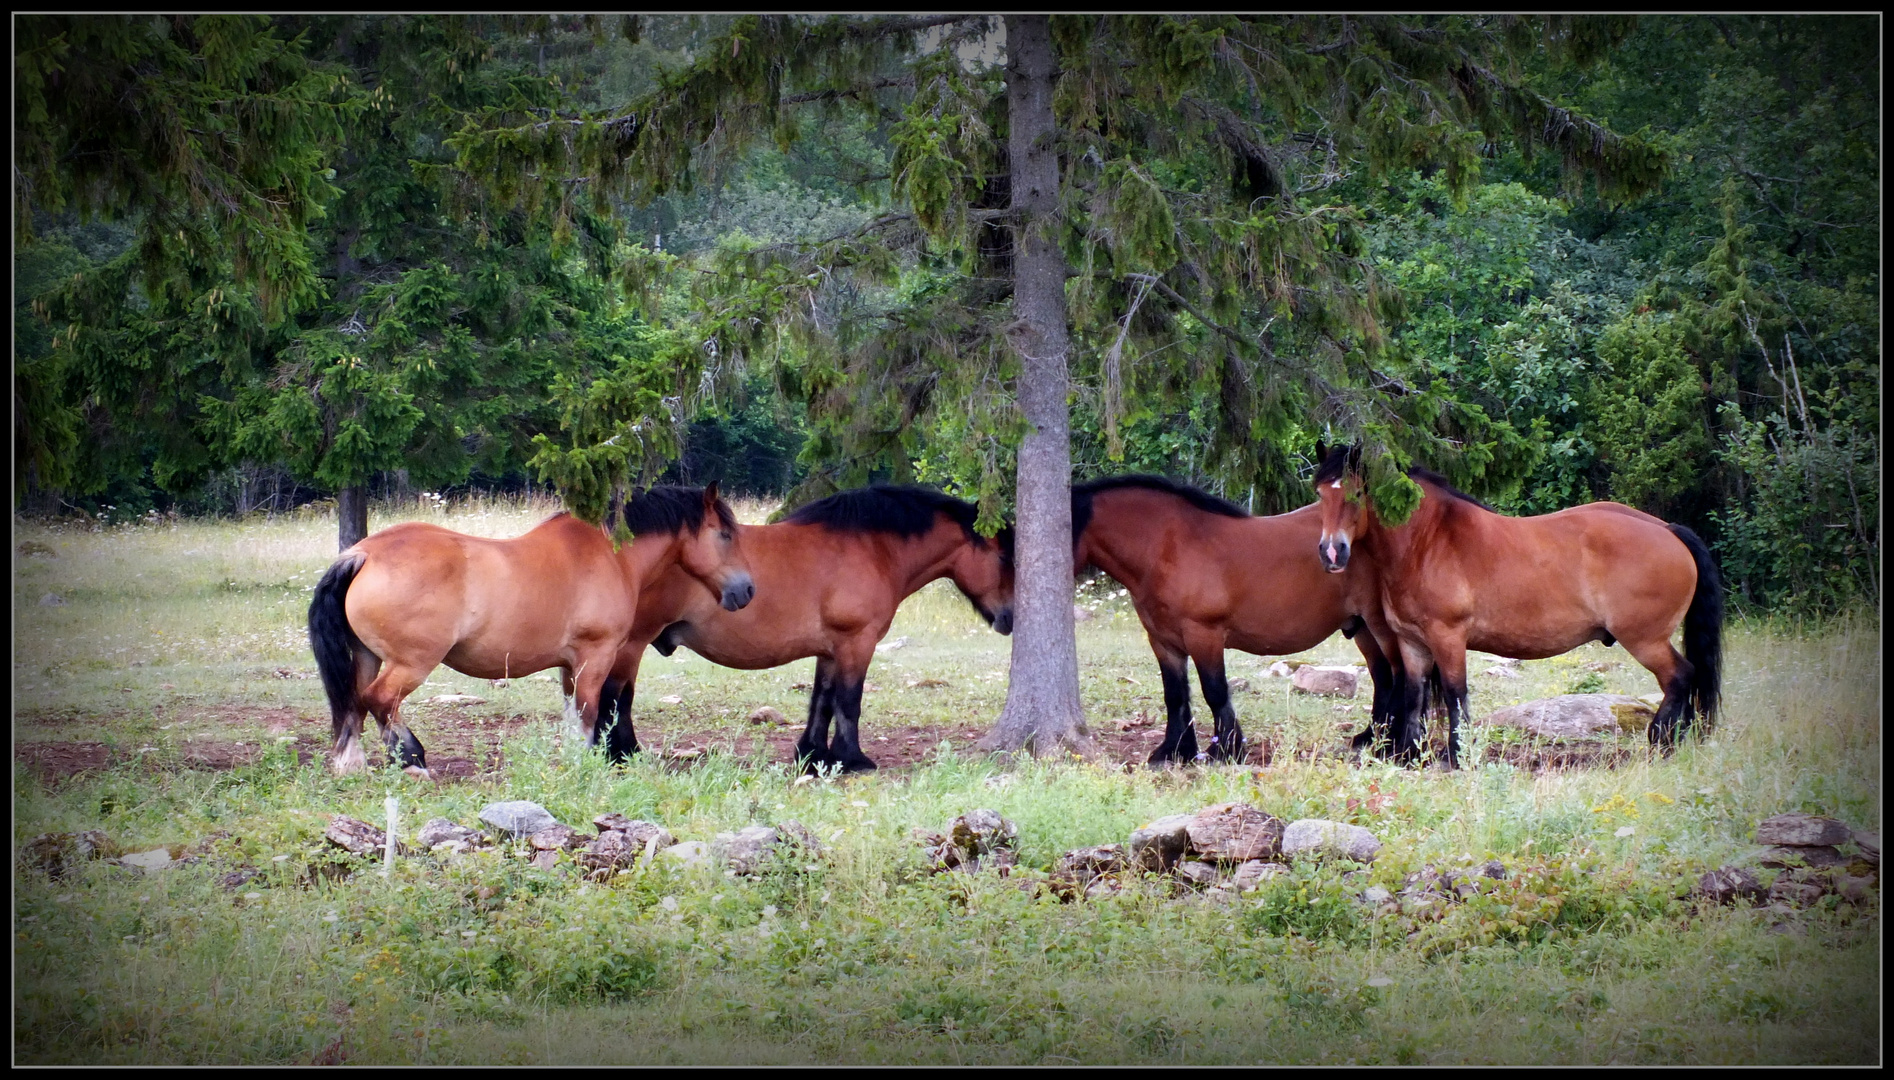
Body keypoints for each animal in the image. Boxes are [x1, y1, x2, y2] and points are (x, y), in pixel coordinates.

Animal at [306, 481, 750, 773]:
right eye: (725, 534)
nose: (746, 590)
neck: (609, 554)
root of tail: (363, 554)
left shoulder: (570, 666)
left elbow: (573, 715)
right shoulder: (596, 657)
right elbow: (588, 715)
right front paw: (584, 764)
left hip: (366, 656)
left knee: (354, 703)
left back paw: (352, 764)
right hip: (411, 664)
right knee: (380, 700)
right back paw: (413, 760)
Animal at [594, 483, 1015, 769]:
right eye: (1003, 556)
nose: (1010, 618)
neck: (873, 549)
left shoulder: (830, 649)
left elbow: (822, 702)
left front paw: (813, 756)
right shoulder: (856, 642)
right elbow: (849, 701)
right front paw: (853, 759)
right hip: (631, 644)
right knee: (616, 696)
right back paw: (620, 754)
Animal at [1068, 473, 1409, 765]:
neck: (1168, 546)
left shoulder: (1204, 635)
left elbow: (1215, 691)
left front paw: (1225, 750)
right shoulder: (1163, 641)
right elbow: (1175, 695)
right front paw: (1174, 750)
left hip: (1380, 625)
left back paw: (1392, 745)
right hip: (1361, 627)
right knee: (1383, 677)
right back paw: (1370, 738)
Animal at [1310, 443, 1727, 765]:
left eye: (1357, 494)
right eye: (1320, 494)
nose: (1332, 552)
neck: (1427, 541)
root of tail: (1667, 529)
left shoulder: (1448, 638)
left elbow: (1455, 695)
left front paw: (1458, 757)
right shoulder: (1412, 643)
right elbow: (1413, 697)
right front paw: (1408, 755)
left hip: (1646, 640)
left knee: (1680, 677)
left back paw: (1661, 744)